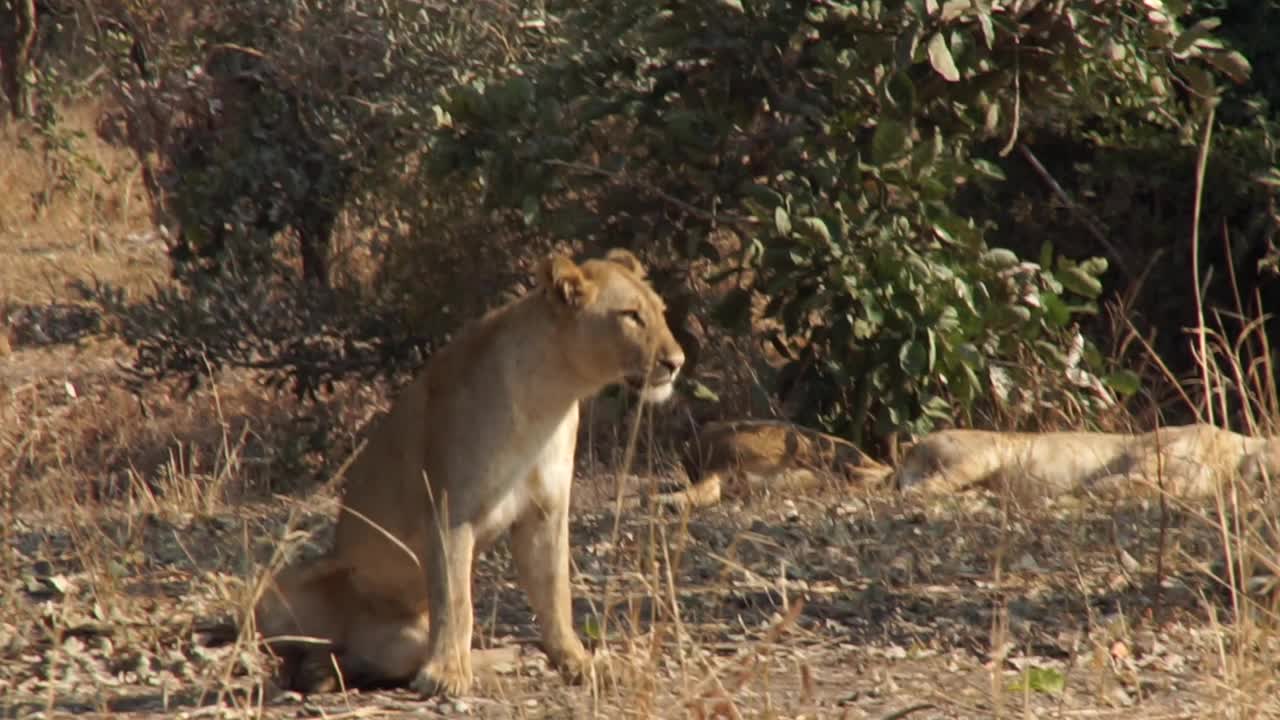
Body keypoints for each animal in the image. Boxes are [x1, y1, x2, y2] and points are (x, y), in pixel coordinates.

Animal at [253, 248, 686, 696]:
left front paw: (579, 663)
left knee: (374, 662)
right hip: (272, 591)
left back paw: (326, 672)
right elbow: (456, 599)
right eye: (631, 315)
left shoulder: (545, 511)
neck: (550, 396)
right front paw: (446, 673)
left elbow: (555, 593)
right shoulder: (450, 510)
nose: (677, 362)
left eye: (661, 312)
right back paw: (313, 670)